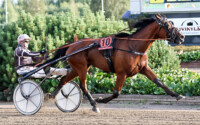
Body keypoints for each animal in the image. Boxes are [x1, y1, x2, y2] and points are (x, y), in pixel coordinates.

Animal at [48, 14, 184, 113]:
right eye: (167, 25)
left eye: (171, 23)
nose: (182, 37)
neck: (134, 46)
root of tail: (72, 45)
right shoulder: (121, 73)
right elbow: (116, 93)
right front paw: (101, 99)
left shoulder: (144, 68)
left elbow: (159, 82)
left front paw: (177, 94)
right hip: (81, 68)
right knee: (83, 85)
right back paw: (94, 104)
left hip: (78, 68)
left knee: (64, 79)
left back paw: (53, 95)